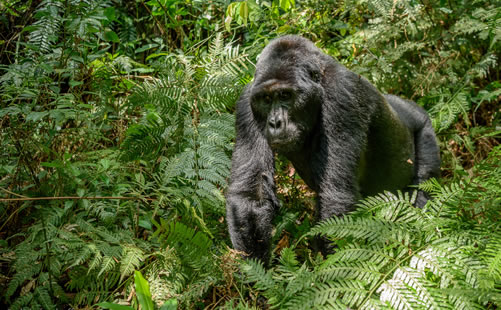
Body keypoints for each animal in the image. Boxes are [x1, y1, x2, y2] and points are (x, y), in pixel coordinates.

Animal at [225, 35, 440, 262]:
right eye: (266, 99)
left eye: (285, 95)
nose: (275, 123)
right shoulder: (246, 103)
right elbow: (250, 197)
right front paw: (257, 269)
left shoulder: (342, 96)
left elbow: (336, 199)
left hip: (424, 129)